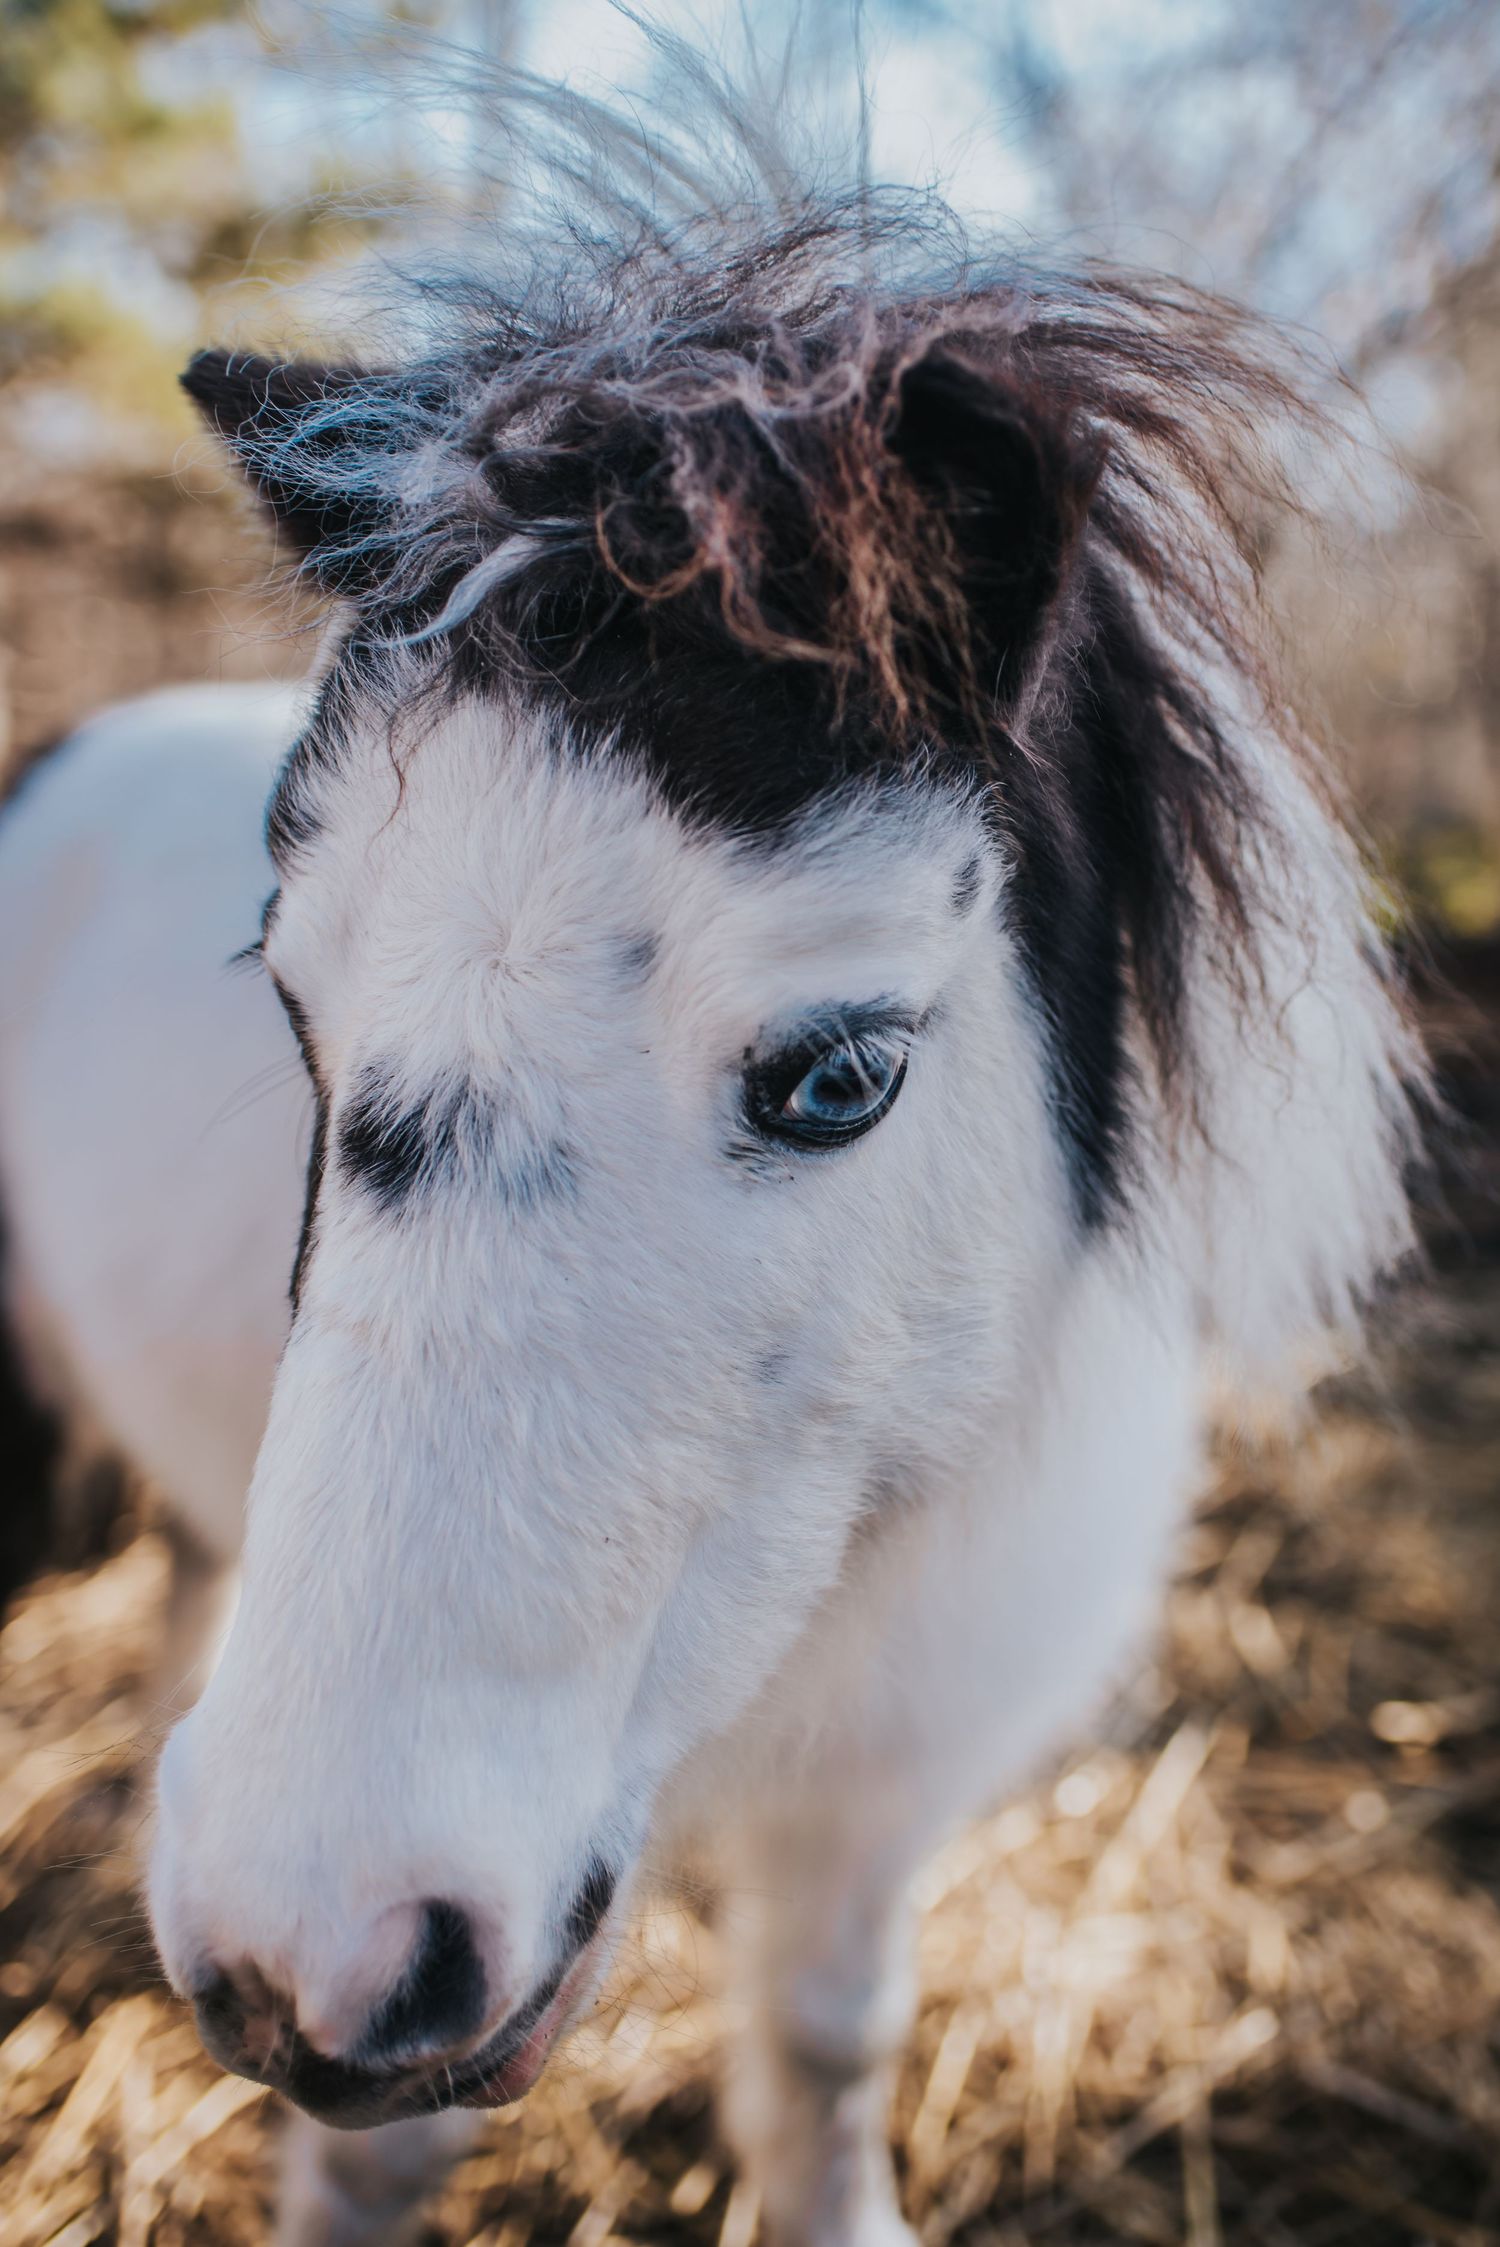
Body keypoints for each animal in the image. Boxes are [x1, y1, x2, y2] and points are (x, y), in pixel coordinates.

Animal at [0, 103, 1423, 2247]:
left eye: (843, 1076)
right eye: (296, 1002)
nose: (300, 1947)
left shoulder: (883, 1789)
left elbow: (829, 2044)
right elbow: (377, 2153)